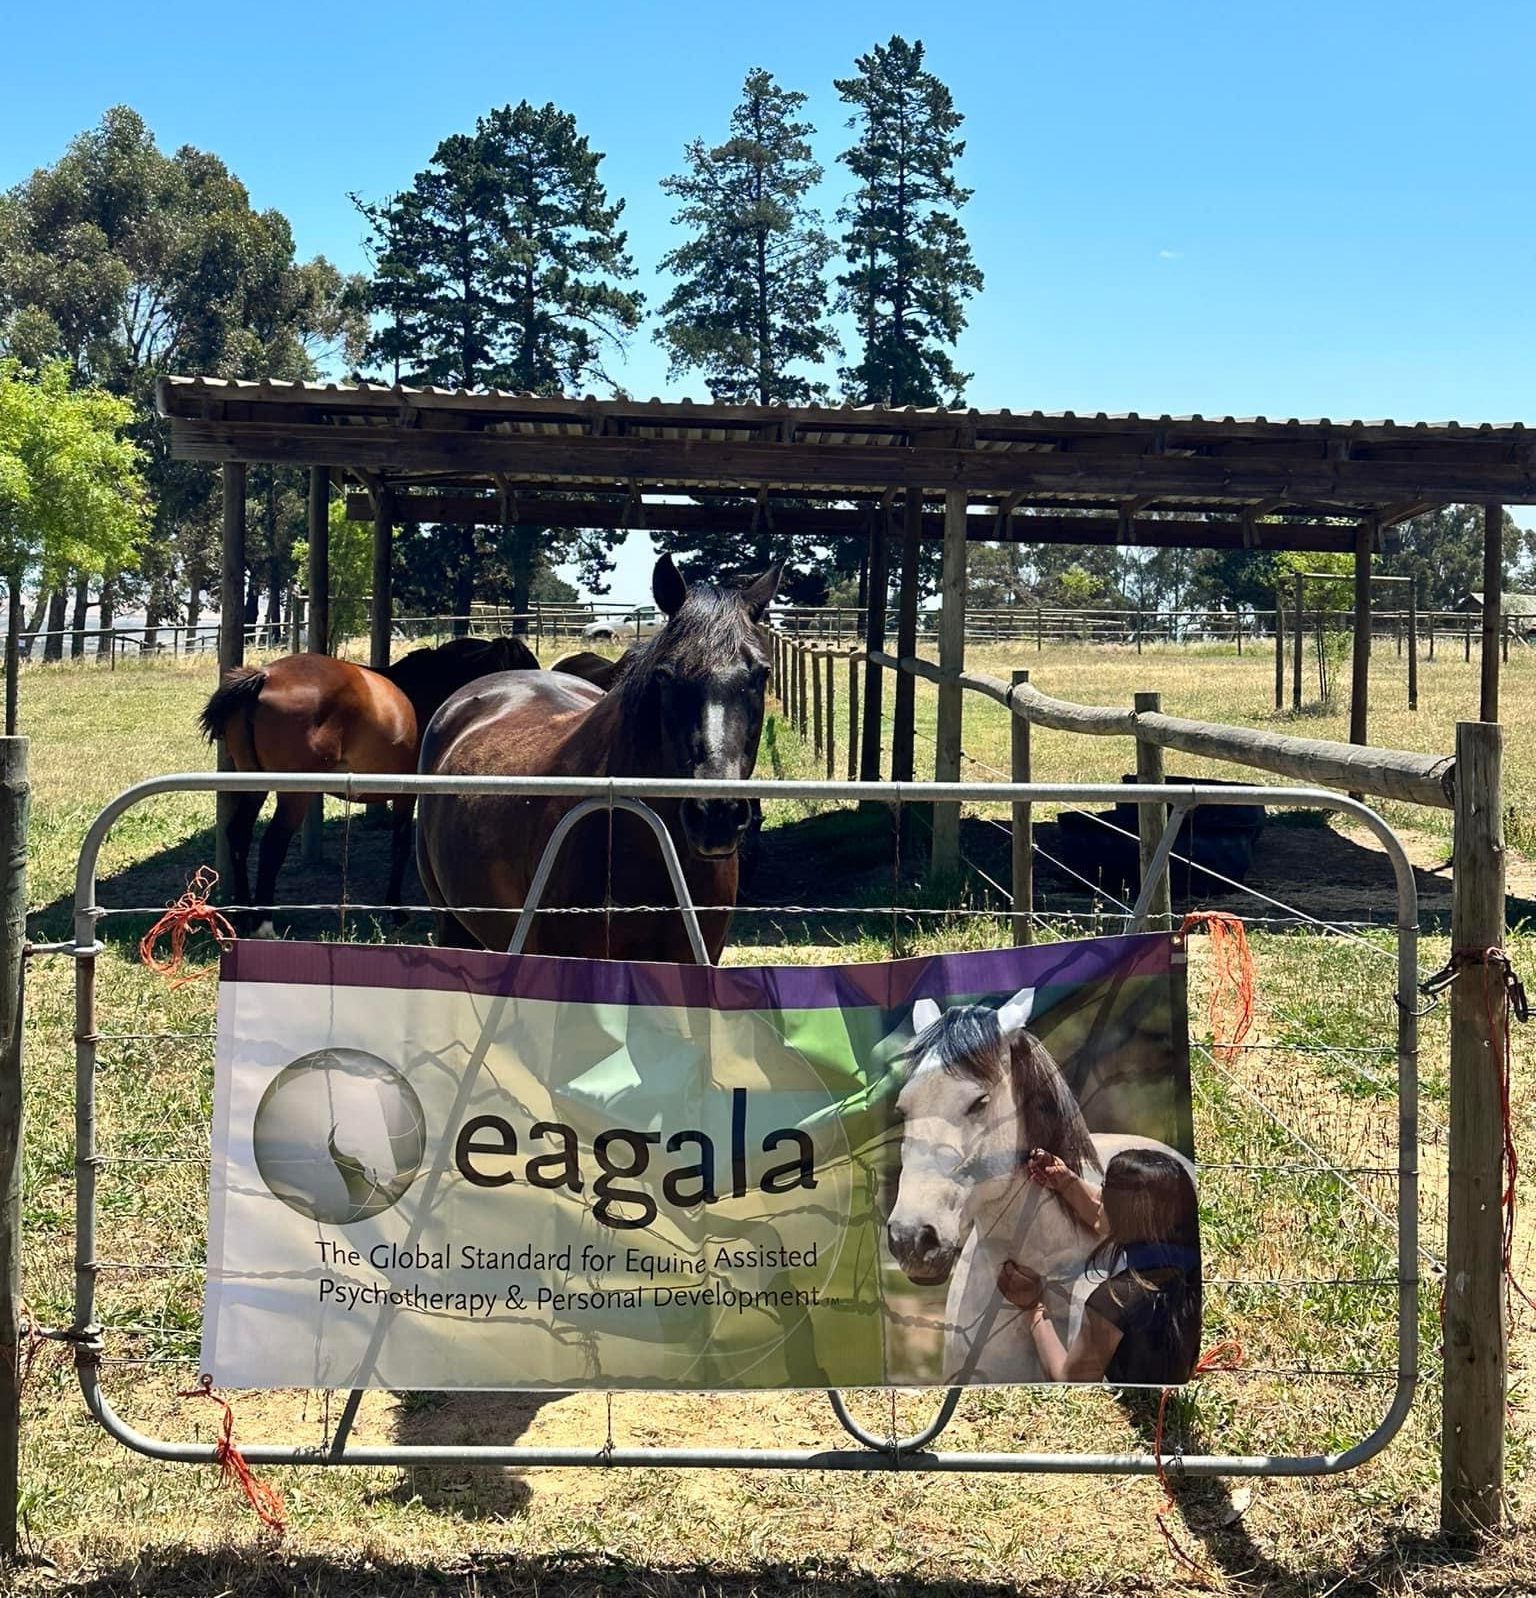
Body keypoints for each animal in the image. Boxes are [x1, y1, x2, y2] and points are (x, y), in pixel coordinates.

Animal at [198, 636, 537, 933]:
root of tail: (265, 676)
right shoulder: (409, 795)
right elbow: (400, 844)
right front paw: (396, 911)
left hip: (254, 784)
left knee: (239, 835)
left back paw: (244, 915)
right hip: (295, 795)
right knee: (272, 845)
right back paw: (263, 924)